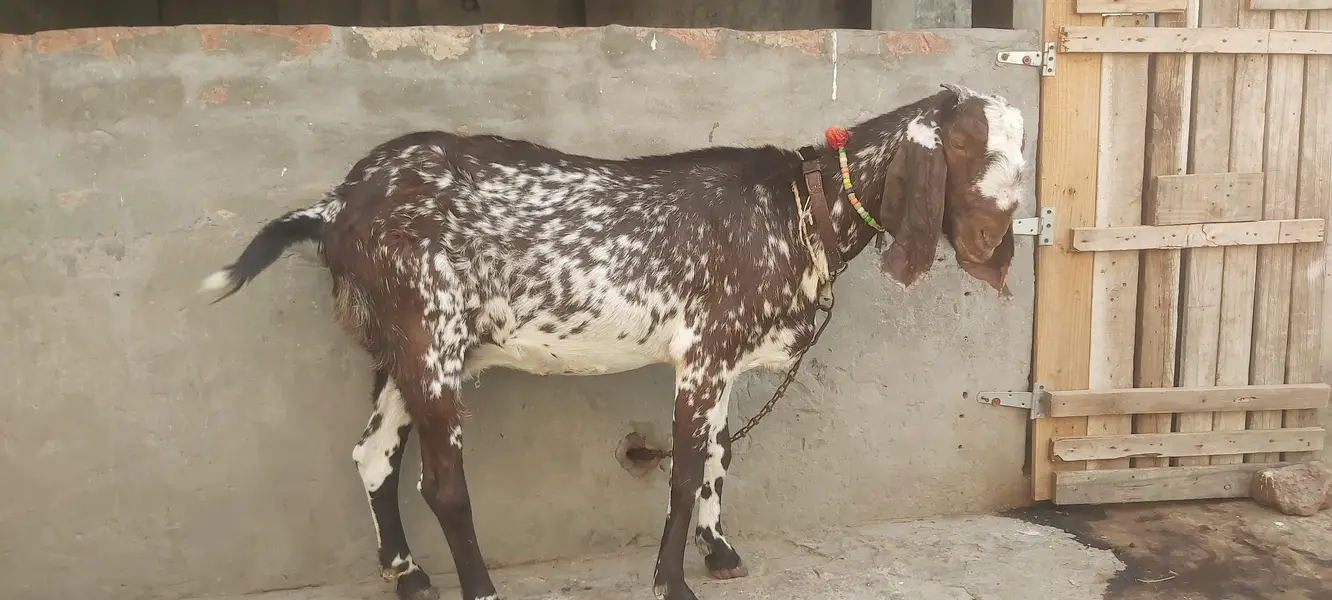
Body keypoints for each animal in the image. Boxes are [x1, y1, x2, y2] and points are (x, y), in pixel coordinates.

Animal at [200, 84, 1027, 600]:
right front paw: (673, 579)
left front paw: (720, 553)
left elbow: (721, 456)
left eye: (1023, 150)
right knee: (441, 483)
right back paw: (481, 588)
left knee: (372, 454)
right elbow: (686, 469)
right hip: (430, 339)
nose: (997, 240)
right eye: (965, 144)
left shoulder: (722, 365)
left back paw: (407, 575)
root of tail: (338, 204)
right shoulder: (703, 354)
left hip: (403, 351)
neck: (800, 206)